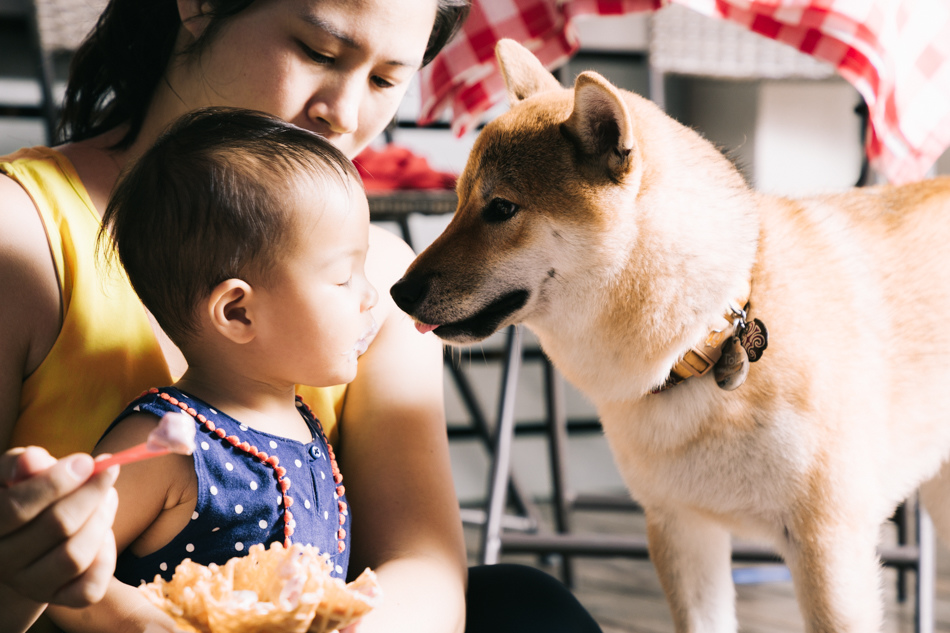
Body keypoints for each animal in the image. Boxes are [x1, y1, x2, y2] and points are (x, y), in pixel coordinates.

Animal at [390, 40, 950, 632]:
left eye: (501, 208)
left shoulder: (829, 546)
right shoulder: (682, 529)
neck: (704, 343)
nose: (397, 292)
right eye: (456, 202)